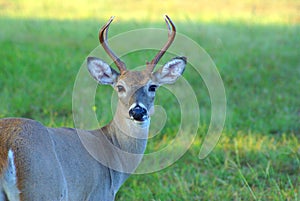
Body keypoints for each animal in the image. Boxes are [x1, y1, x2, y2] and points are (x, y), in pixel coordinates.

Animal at [0, 15, 186, 201]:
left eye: (152, 86)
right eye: (120, 87)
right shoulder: (100, 194)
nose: (137, 111)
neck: (114, 152)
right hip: (42, 188)